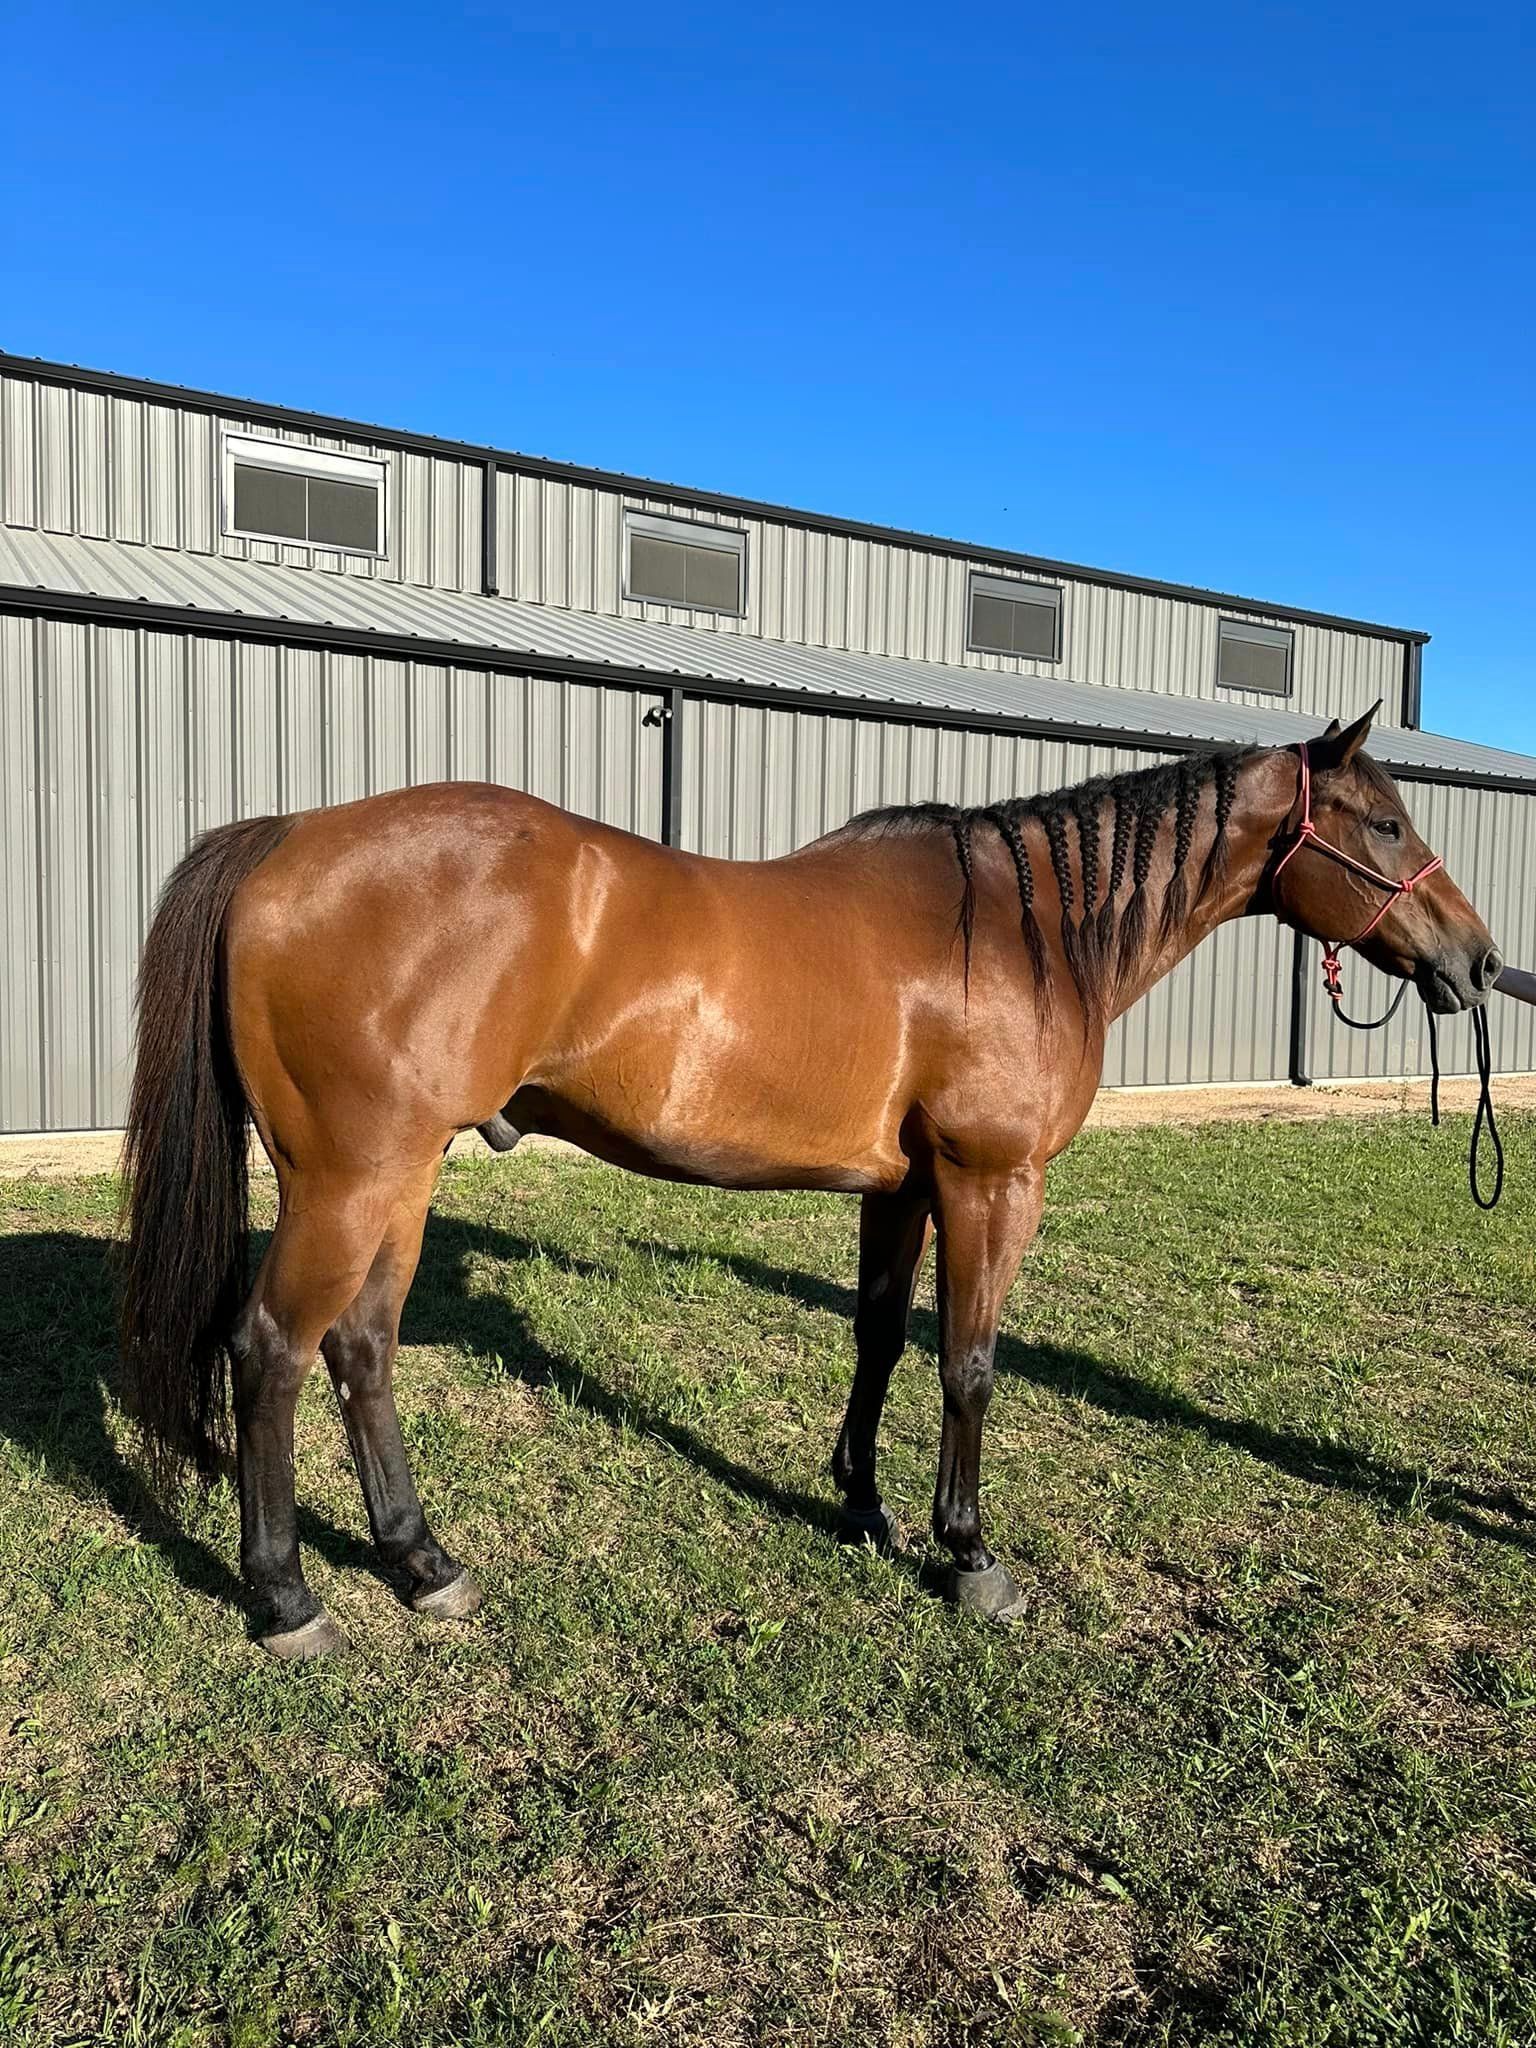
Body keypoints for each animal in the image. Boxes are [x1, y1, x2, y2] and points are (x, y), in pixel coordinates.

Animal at [119, 703, 1501, 1657]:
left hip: (401, 1180)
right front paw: (967, 1552)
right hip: (347, 1179)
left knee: (363, 1349)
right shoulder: (991, 1181)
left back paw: (422, 1562)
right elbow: (968, 1363)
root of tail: (289, 842)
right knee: (270, 1349)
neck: (1024, 929)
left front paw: (864, 1507)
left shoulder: (903, 1184)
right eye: (1386, 822)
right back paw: (287, 1595)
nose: (1479, 962)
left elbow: (880, 1338)